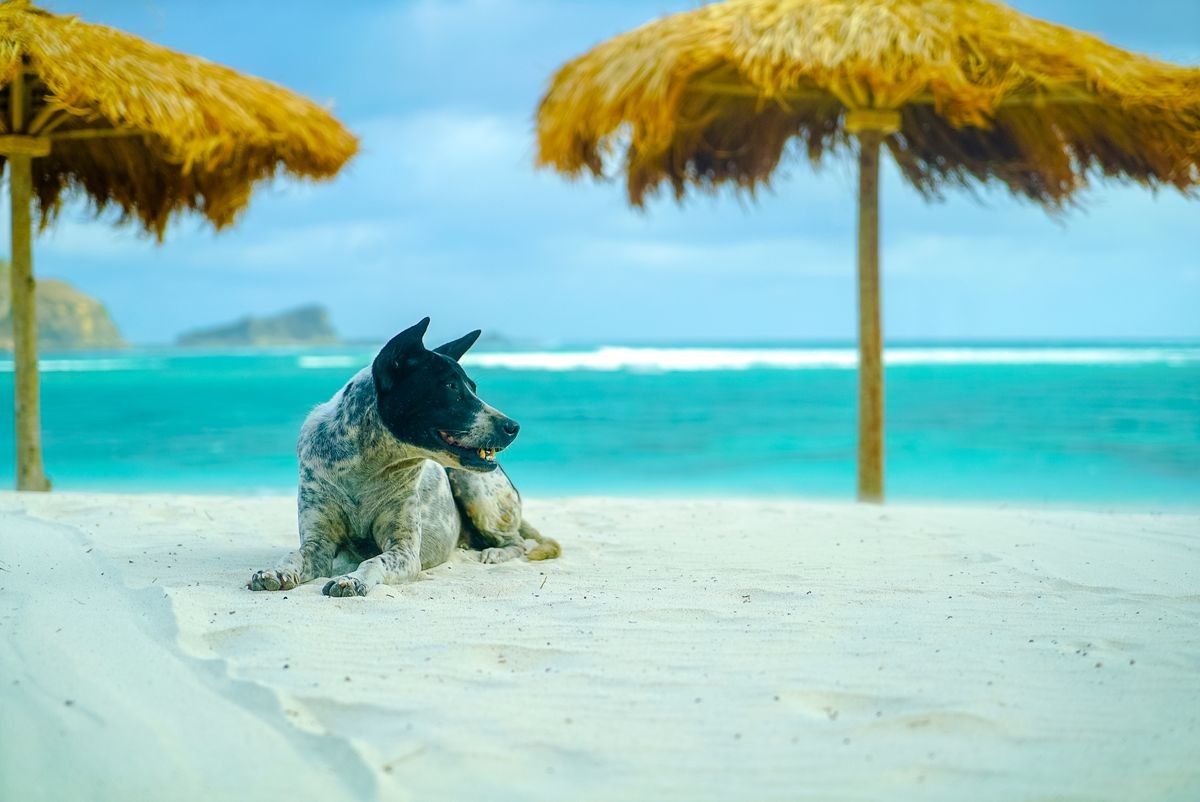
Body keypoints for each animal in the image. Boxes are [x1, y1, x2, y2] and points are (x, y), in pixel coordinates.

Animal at [250, 316, 559, 595]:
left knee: (517, 541)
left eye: (473, 388)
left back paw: (494, 553)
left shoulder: (405, 550)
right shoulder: (318, 544)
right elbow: (295, 555)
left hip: (471, 486)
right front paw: (275, 571)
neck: (366, 466)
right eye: (450, 387)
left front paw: (351, 579)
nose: (513, 427)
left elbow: (374, 561)